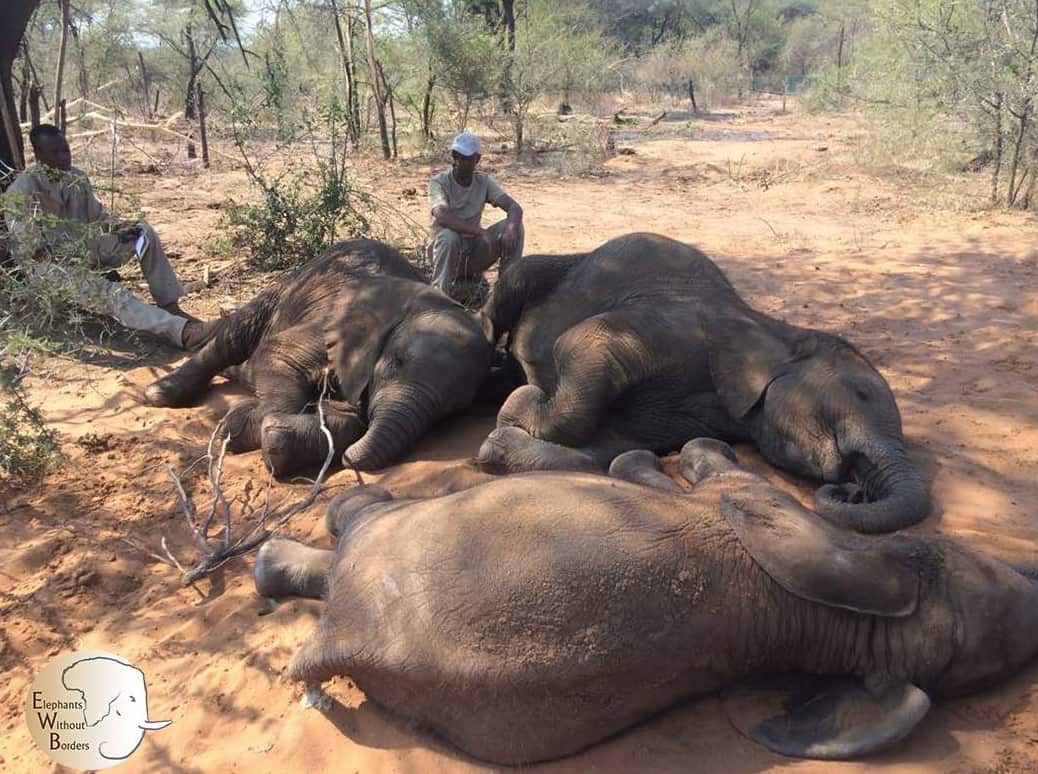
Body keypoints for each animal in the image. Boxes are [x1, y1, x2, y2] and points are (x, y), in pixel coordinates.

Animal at [144, 239, 491, 475]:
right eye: (395, 363)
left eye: (452, 410)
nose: (350, 459)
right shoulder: (328, 325)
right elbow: (278, 355)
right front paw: (240, 426)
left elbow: (352, 420)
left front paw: (279, 437)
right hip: (285, 288)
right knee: (234, 336)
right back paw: (160, 393)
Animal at [476, 232, 929, 533]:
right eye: (861, 394)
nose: (854, 492)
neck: (774, 331)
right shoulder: (677, 328)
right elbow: (581, 342)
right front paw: (522, 402)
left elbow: (610, 446)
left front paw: (501, 440)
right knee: (512, 285)